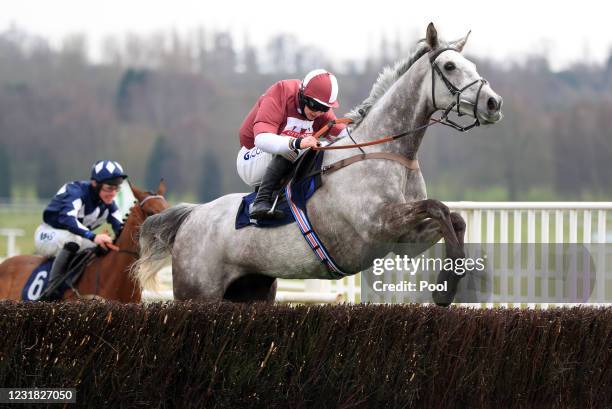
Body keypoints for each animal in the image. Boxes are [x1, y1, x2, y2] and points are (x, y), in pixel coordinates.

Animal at [134, 21, 502, 302]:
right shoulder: (379, 224)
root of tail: (191, 216)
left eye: (472, 65)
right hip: (198, 293)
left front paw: (451, 282)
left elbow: (454, 218)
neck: (390, 153)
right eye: (451, 66)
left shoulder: (404, 240)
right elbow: (437, 207)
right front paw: (447, 287)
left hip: (252, 291)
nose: (493, 103)